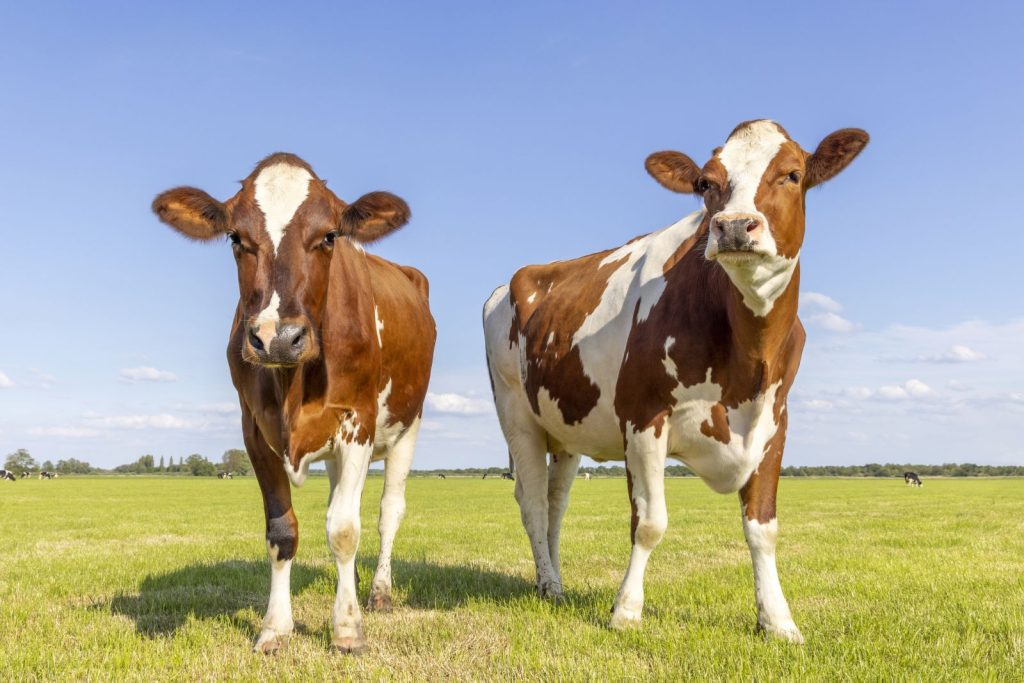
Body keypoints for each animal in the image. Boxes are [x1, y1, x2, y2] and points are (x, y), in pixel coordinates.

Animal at [152, 153, 436, 655]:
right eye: (236, 238)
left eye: (329, 236)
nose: (277, 338)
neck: (293, 385)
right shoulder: (253, 430)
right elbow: (282, 532)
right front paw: (274, 628)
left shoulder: (358, 421)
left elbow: (344, 529)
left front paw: (347, 629)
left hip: (408, 424)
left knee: (387, 512)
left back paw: (379, 592)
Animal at [484, 120, 868, 643]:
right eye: (706, 183)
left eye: (792, 174)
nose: (733, 225)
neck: (747, 354)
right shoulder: (643, 418)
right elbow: (649, 523)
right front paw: (626, 612)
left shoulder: (773, 423)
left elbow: (763, 528)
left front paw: (777, 621)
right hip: (516, 414)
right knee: (533, 504)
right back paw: (550, 585)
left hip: (566, 428)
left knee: (555, 503)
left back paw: (554, 582)